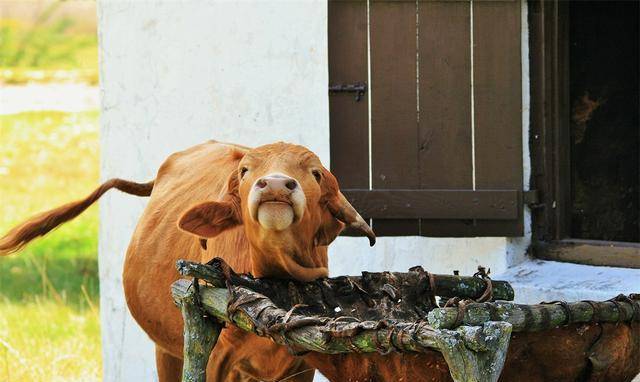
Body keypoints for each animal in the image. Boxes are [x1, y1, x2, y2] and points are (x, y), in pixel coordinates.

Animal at [0, 141, 376, 382]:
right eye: (245, 170)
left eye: (315, 173)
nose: (275, 185)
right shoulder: (213, 360)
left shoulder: (300, 366)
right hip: (166, 350)